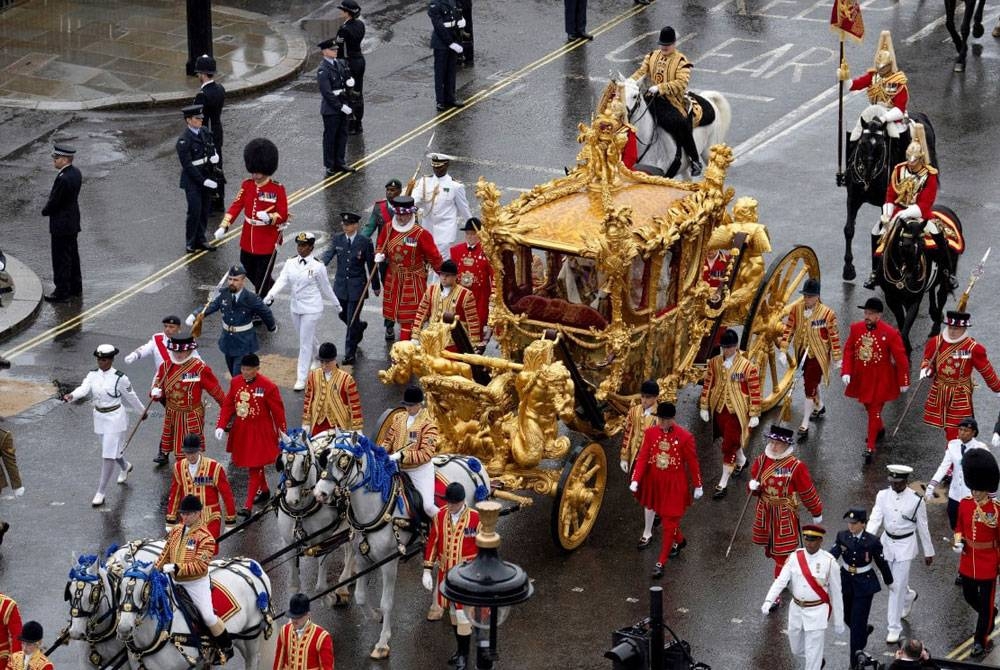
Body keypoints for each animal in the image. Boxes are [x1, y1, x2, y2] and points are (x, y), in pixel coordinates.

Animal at [116, 556, 274, 670]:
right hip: (239, 636)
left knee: (252, 659)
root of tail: (250, 564)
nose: (124, 628)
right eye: (120, 588)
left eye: (144, 590)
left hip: (251, 633)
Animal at [276, 434, 354, 608]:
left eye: (303, 462)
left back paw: (344, 584)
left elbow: (320, 587)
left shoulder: (323, 542)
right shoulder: (287, 543)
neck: (300, 512)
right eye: (282, 462)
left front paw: (329, 597)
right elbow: (294, 585)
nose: (291, 500)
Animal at [308, 434, 488, 660]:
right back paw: (436, 606)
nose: (320, 493)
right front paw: (374, 616)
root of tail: (472, 461)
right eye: (326, 458)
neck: (375, 509)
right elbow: (360, 597)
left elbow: (387, 603)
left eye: (344, 460)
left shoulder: (389, 563)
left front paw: (382, 643)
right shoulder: (362, 558)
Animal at [844, 107, 936, 284]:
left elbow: (885, 230)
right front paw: (848, 269)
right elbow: (849, 230)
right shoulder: (853, 199)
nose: (867, 175)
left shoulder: (884, 202)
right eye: (862, 143)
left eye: (880, 145)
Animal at [876, 207, 960, 356]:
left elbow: (906, 325)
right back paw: (934, 313)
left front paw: (906, 349)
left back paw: (936, 325)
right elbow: (901, 322)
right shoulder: (891, 298)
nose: (914, 275)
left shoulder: (914, 299)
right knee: (932, 291)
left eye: (922, 243)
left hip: (946, 277)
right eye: (904, 245)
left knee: (941, 296)